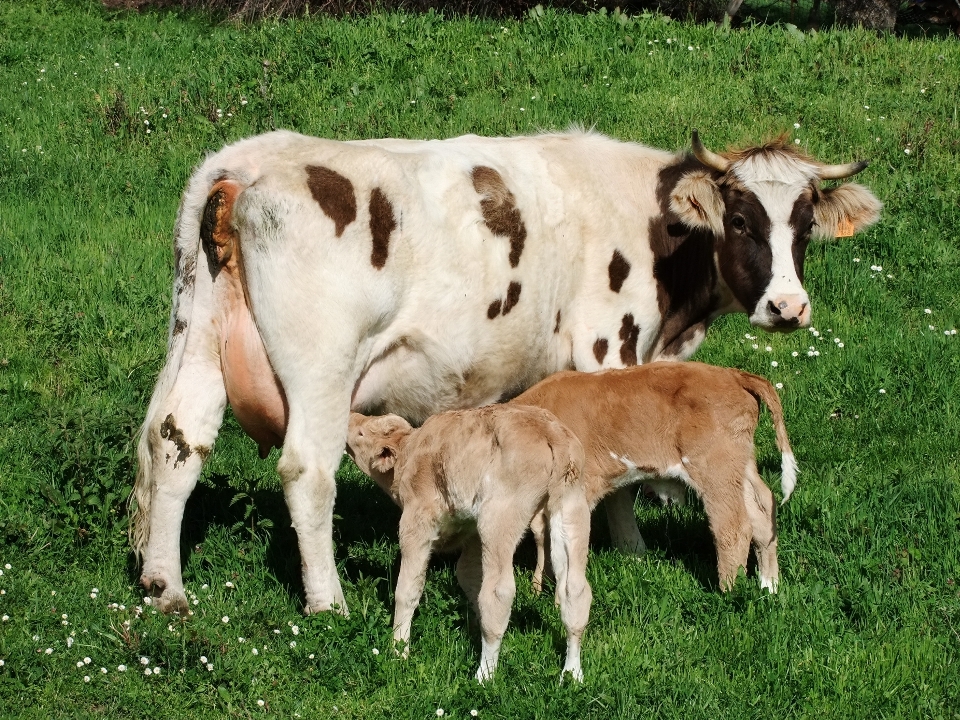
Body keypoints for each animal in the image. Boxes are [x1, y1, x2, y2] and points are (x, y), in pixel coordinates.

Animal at [344, 408, 592, 684]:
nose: (350, 416)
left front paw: (399, 651)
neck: (408, 455)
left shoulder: (416, 523)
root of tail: (550, 430)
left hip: (499, 516)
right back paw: (572, 673)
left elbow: (407, 590)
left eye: (361, 433)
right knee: (575, 589)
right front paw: (474, 626)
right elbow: (468, 576)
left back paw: (485, 674)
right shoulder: (471, 531)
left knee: (499, 592)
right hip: (571, 505)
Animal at [512, 362, 800, 592]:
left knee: (733, 525)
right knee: (763, 508)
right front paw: (540, 588)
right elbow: (544, 534)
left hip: (714, 466)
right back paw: (768, 585)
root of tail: (733, 375)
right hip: (739, 463)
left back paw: (729, 591)